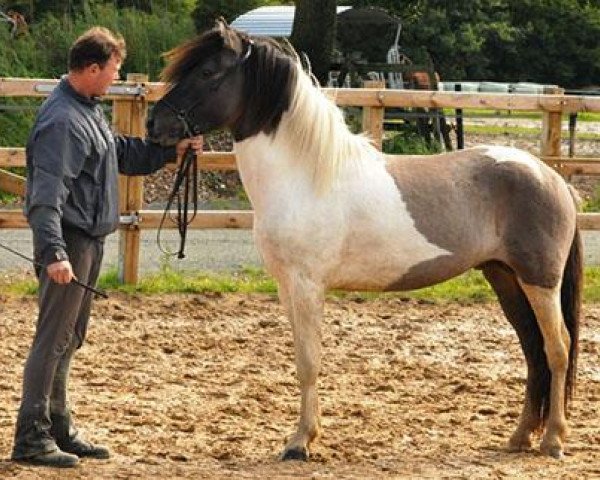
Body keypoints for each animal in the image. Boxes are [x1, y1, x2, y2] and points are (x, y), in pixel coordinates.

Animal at [148, 19, 584, 462]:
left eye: (208, 72)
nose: (153, 124)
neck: (304, 177)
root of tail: (552, 178)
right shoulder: (288, 286)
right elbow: (302, 357)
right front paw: (306, 436)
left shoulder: (307, 285)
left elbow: (309, 361)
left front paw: (300, 443)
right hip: (505, 278)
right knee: (533, 350)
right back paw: (520, 437)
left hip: (539, 281)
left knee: (558, 349)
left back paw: (553, 440)